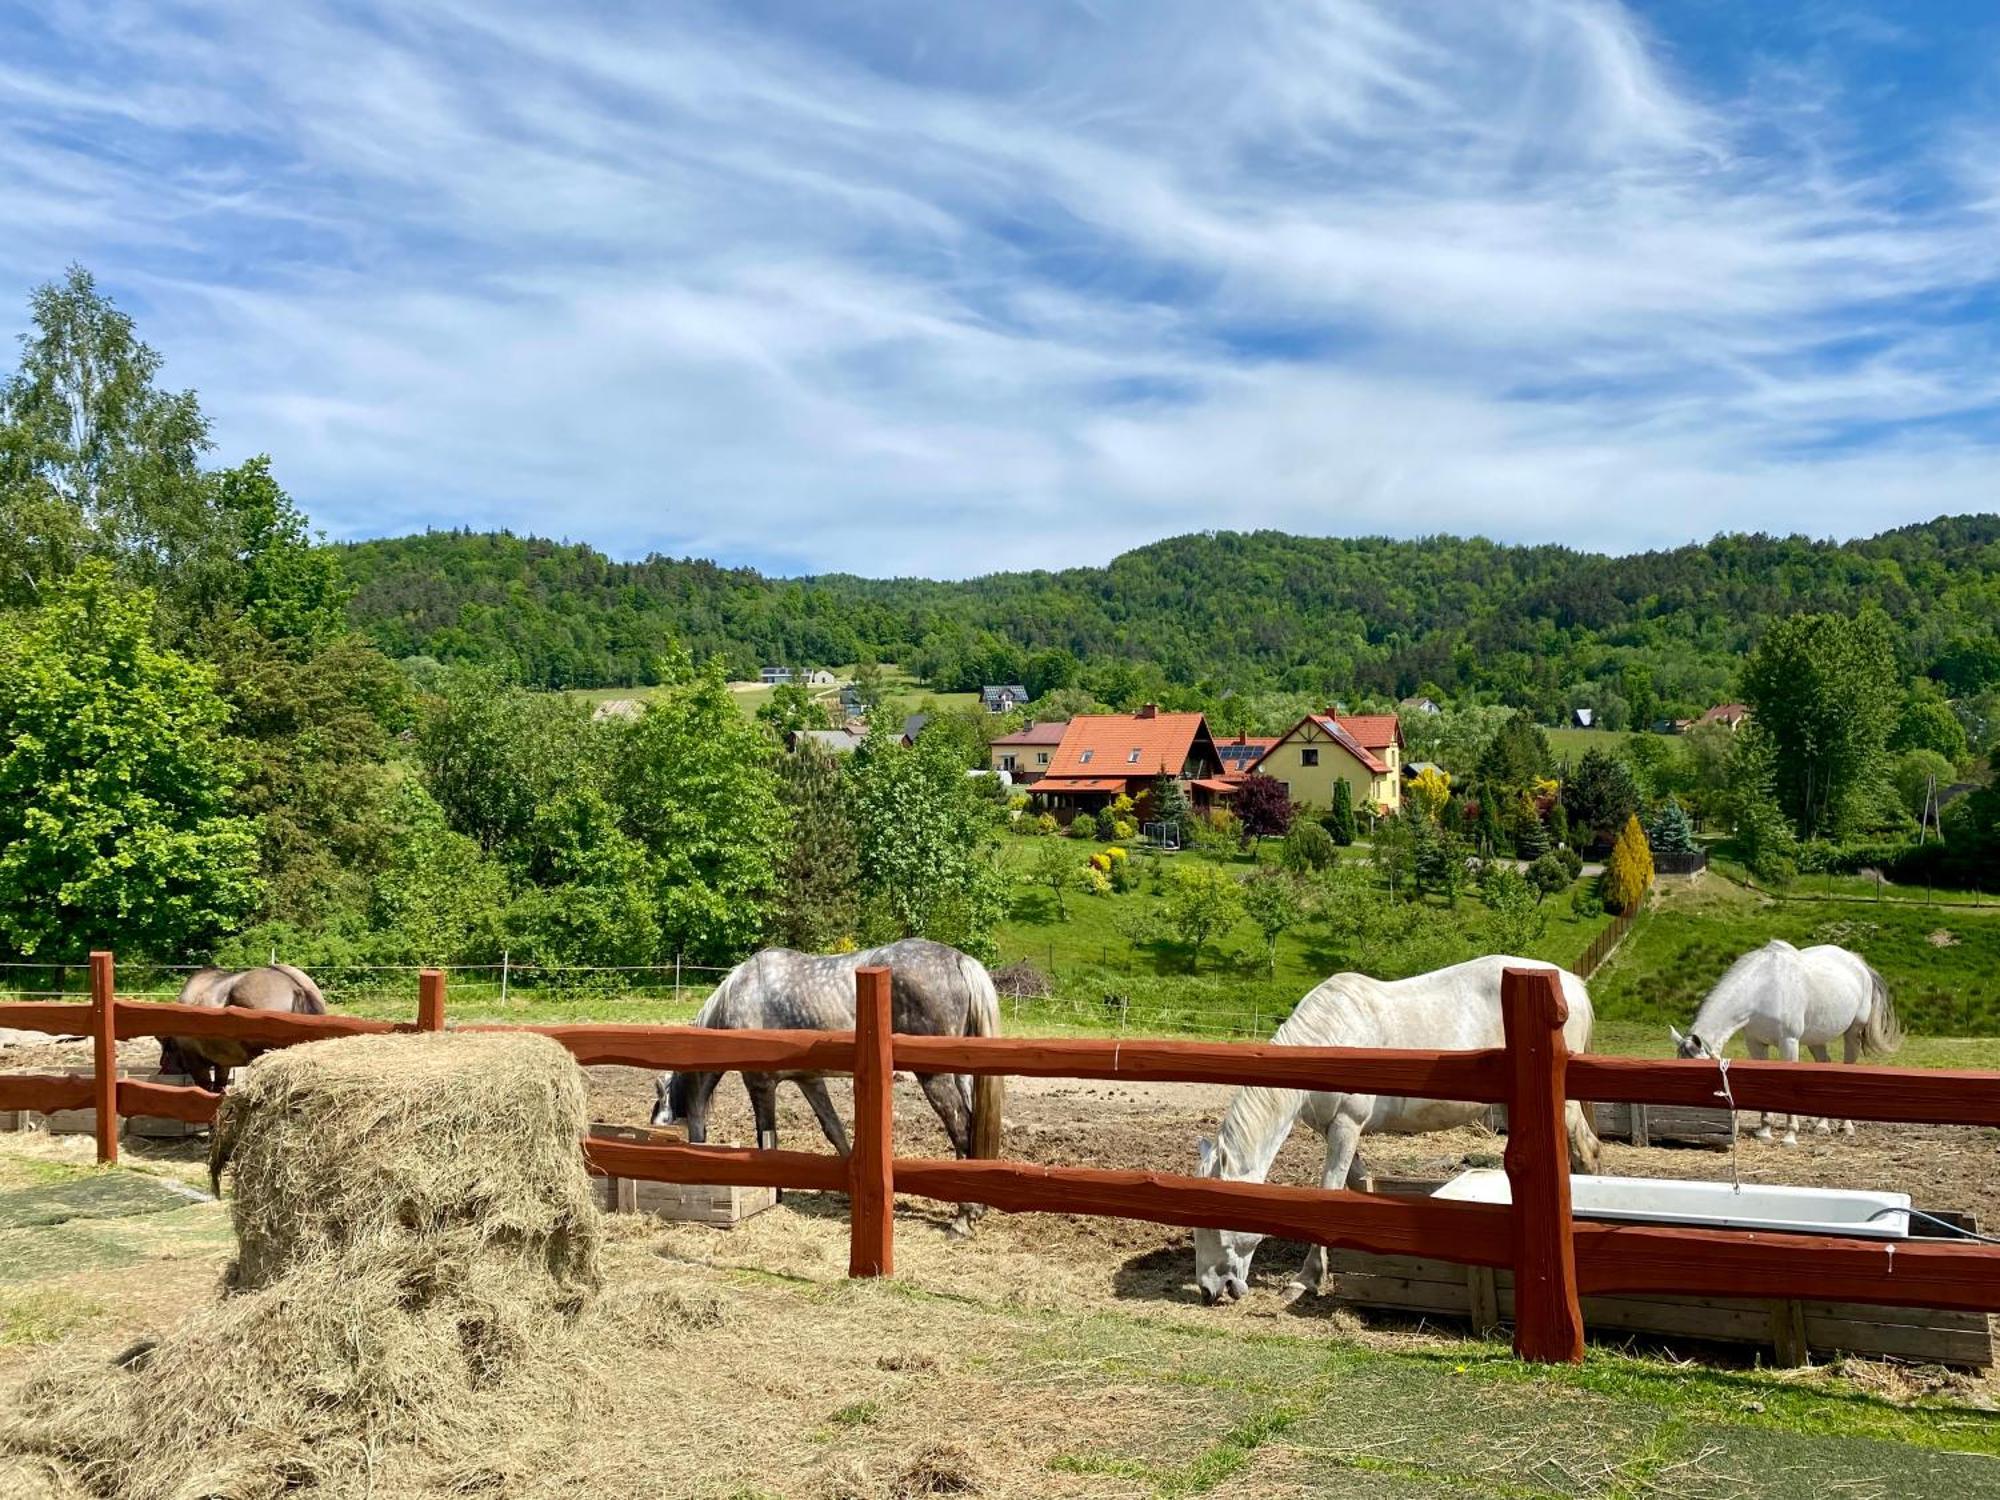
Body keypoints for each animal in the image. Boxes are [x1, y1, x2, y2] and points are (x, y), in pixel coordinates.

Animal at [652, 944, 1008, 1240]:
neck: (740, 994)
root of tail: (958, 960)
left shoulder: (760, 1084)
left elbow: (767, 1139)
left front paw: (774, 1191)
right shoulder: (810, 1081)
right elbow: (834, 1130)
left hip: (935, 1077)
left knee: (961, 1129)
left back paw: (963, 1218)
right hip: (961, 1075)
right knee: (970, 1129)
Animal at [1192, 956, 1600, 1312]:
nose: (1209, 1290)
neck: (1330, 1038)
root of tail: (1571, 984)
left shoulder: (1346, 1125)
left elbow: (1328, 1192)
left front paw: (1305, 1279)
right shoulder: (1337, 1130)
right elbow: (1358, 1184)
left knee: (1588, 1153)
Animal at [1672, 940, 1904, 1152]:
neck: (1763, 988)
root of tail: (1858, 963)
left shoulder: (1789, 1042)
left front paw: (1789, 1136)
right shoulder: (1755, 1043)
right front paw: (1765, 1132)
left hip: (1852, 1033)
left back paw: (1845, 1126)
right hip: (1816, 1039)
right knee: (1824, 1063)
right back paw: (1822, 1125)